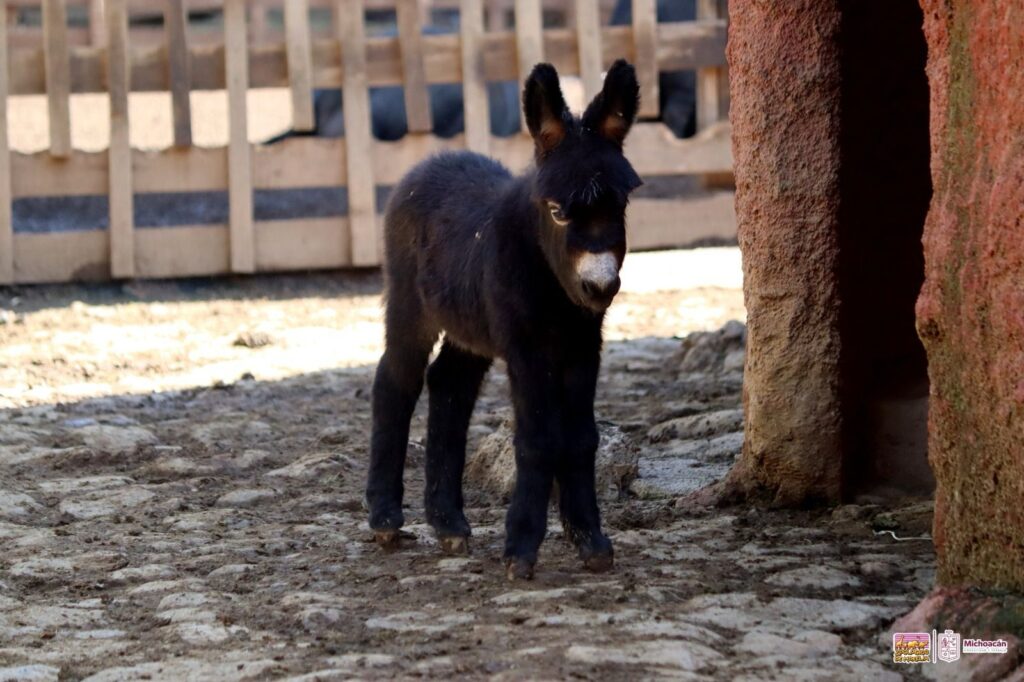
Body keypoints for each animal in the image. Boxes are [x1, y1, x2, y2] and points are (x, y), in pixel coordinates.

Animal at [366, 59, 638, 577]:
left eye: (620, 206)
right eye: (557, 211)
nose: (599, 287)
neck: (553, 285)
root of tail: (430, 162)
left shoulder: (583, 345)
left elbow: (581, 437)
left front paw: (590, 540)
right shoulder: (526, 348)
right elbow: (538, 439)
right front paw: (521, 550)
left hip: (468, 326)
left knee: (449, 385)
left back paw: (448, 522)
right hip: (410, 305)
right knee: (396, 382)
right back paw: (384, 518)